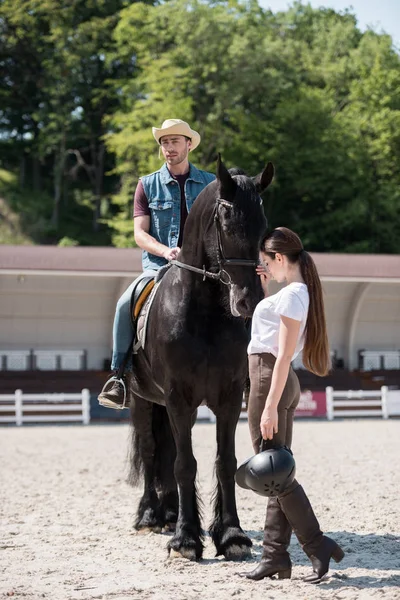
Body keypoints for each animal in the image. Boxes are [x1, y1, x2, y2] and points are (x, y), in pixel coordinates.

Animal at [130, 156, 274, 564]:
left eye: (263, 225)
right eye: (225, 221)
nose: (248, 300)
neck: (206, 312)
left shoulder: (228, 397)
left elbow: (225, 462)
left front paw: (231, 535)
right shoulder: (178, 398)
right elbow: (185, 464)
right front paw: (187, 539)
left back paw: (169, 513)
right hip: (143, 401)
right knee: (152, 451)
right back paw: (150, 515)